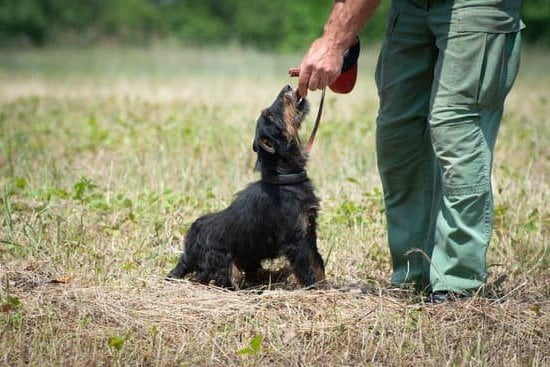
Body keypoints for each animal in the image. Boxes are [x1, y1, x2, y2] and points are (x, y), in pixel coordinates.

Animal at [166, 85, 326, 288]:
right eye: (270, 115)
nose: (288, 87)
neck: (284, 175)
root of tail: (188, 253)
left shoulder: (309, 231)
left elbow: (318, 262)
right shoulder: (296, 240)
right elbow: (307, 268)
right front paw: (315, 288)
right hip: (224, 264)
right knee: (215, 278)